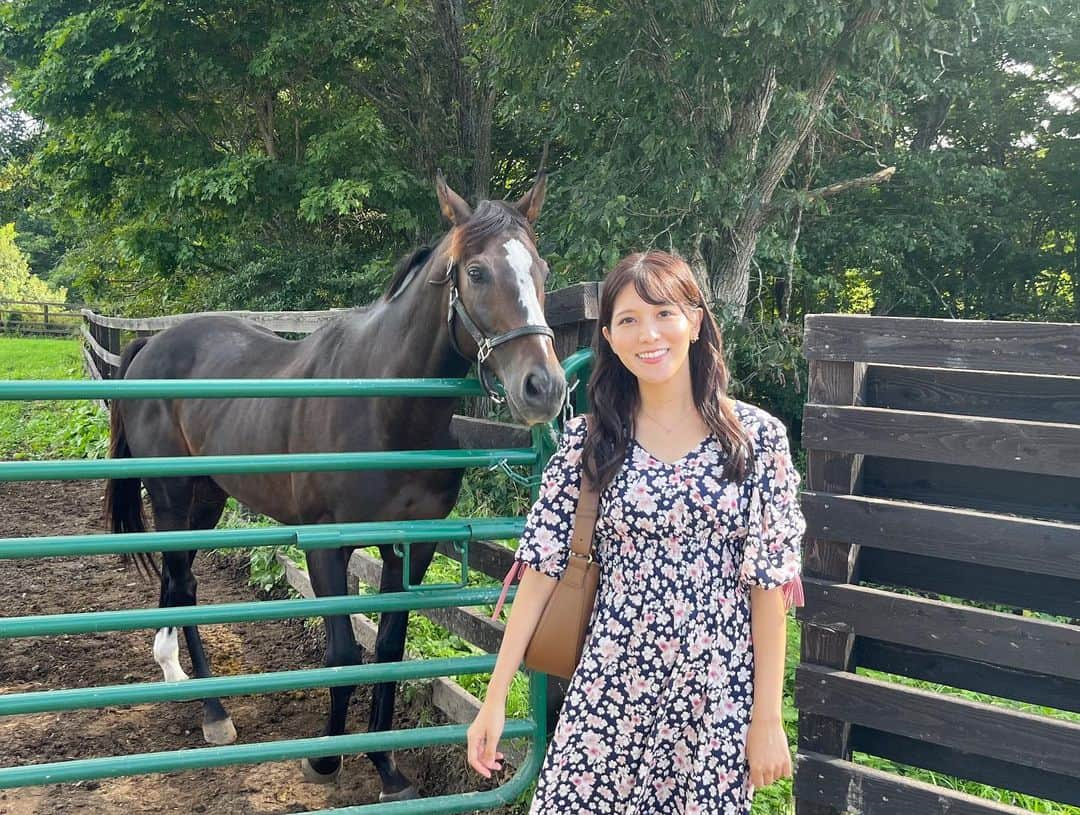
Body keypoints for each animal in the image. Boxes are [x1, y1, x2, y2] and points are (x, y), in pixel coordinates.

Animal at [103, 173, 565, 803]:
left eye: (541, 268)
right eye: (476, 272)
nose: (544, 386)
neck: (385, 409)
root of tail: (151, 347)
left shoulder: (411, 547)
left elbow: (389, 650)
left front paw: (387, 769)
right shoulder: (327, 545)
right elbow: (344, 652)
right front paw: (324, 760)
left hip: (208, 498)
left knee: (182, 582)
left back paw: (180, 678)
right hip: (172, 496)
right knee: (183, 581)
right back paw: (212, 711)